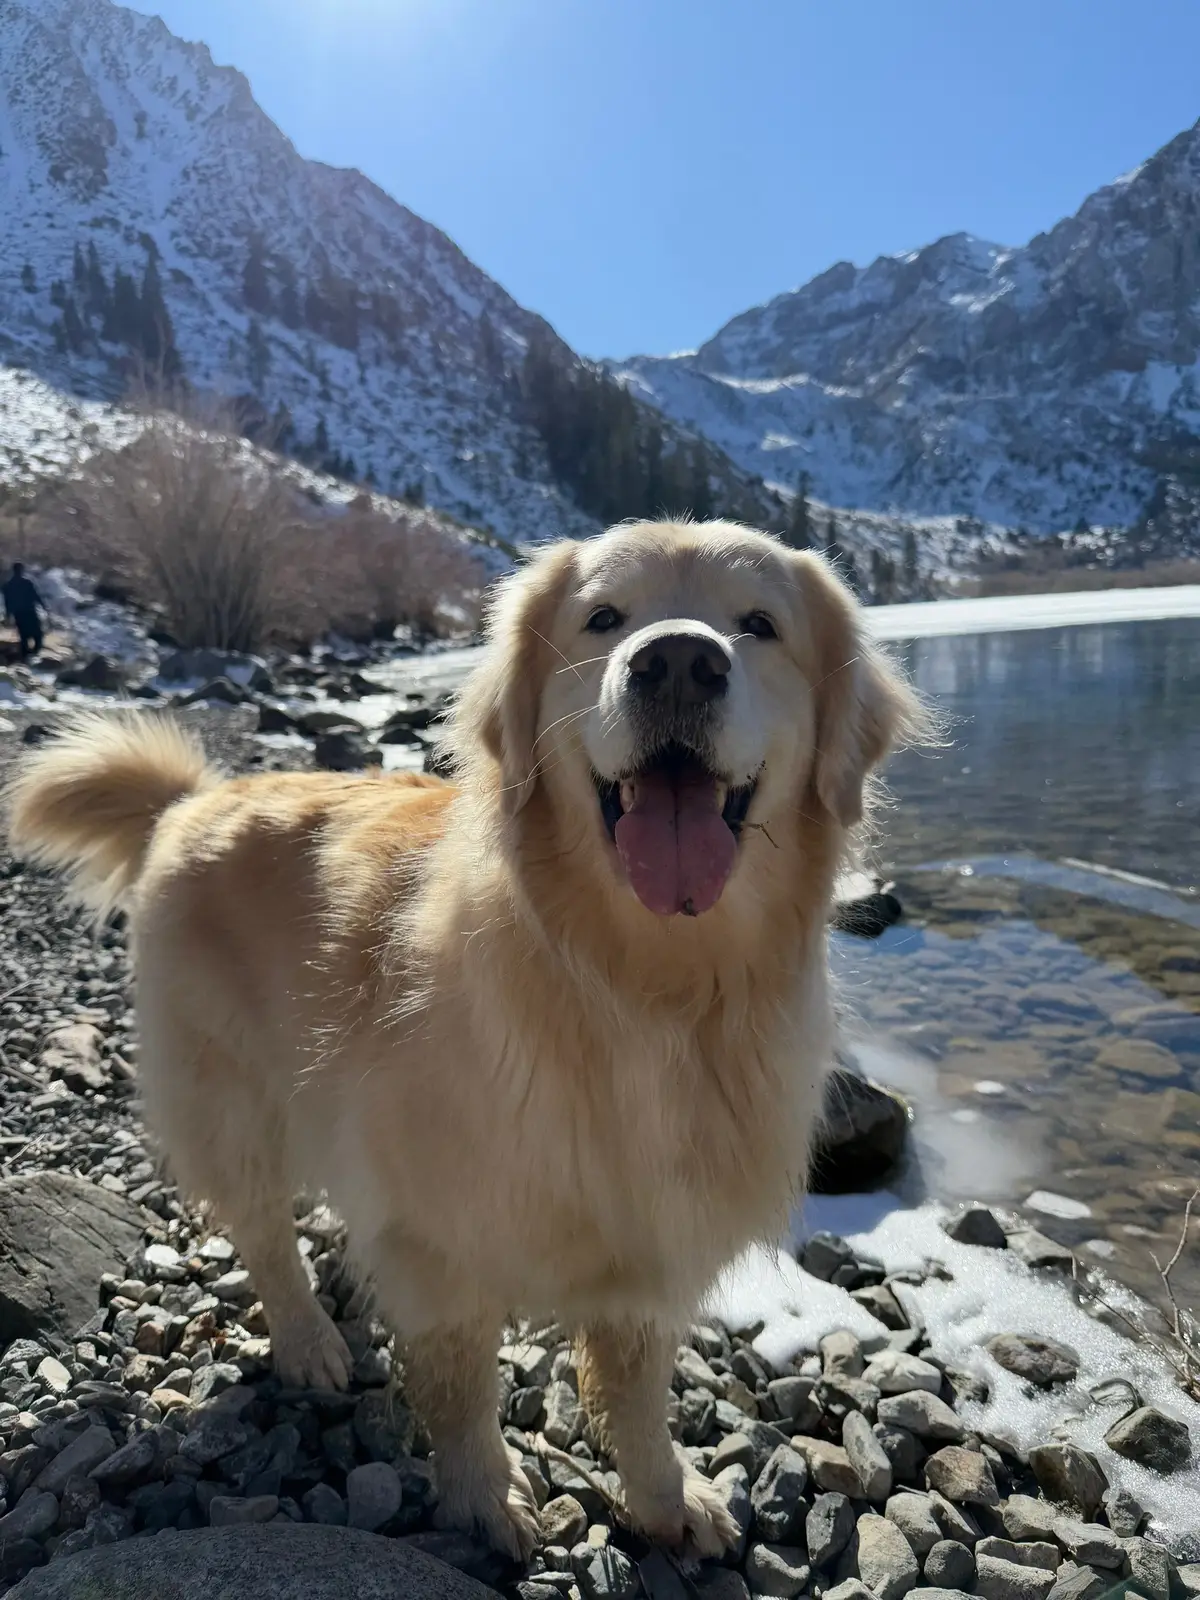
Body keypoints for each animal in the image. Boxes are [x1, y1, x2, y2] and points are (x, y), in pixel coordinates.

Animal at [9, 521, 928, 1561]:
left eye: (761, 625)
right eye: (603, 618)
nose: (677, 663)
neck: (640, 991)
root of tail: (192, 801)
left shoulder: (650, 1238)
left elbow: (638, 1392)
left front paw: (665, 1498)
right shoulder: (442, 1236)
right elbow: (458, 1380)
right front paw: (484, 1497)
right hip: (231, 1096)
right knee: (263, 1230)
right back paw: (311, 1341)